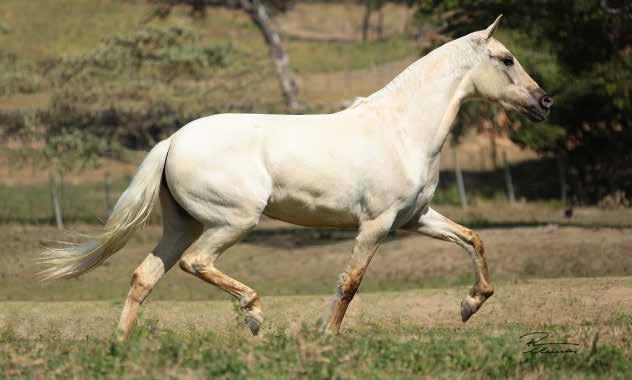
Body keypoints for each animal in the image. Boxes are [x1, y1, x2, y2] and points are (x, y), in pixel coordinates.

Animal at [42, 15, 552, 342]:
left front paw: (470, 305)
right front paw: (326, 337)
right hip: (233, 221)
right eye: (506, 59)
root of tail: (172, 141)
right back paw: (253, 316)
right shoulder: (376, 225)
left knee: (144, 276)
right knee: (196, 263)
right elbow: (350, 282)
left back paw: (121, 344)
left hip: (182, 225)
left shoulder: (415, 218)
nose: (544, 102)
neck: (402, 129)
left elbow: (473, 240)